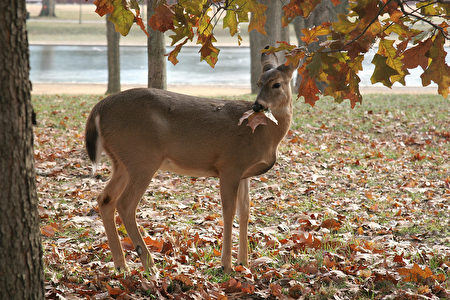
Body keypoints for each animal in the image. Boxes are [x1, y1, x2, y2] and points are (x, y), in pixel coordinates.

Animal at [85, 47, 298, 274]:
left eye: (276, 84)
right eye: (259, 82)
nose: (258, 105)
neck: (263, 134)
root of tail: (99, 108)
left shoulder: (244, 173)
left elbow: (245, 211)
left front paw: (245, 263)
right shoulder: (230, 164)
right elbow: (229, 212)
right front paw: (227, 265)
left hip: (122, 161)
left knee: (105, 199)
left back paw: (122, 265)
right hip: (142, 158)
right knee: (125, 204)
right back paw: (150, 265)